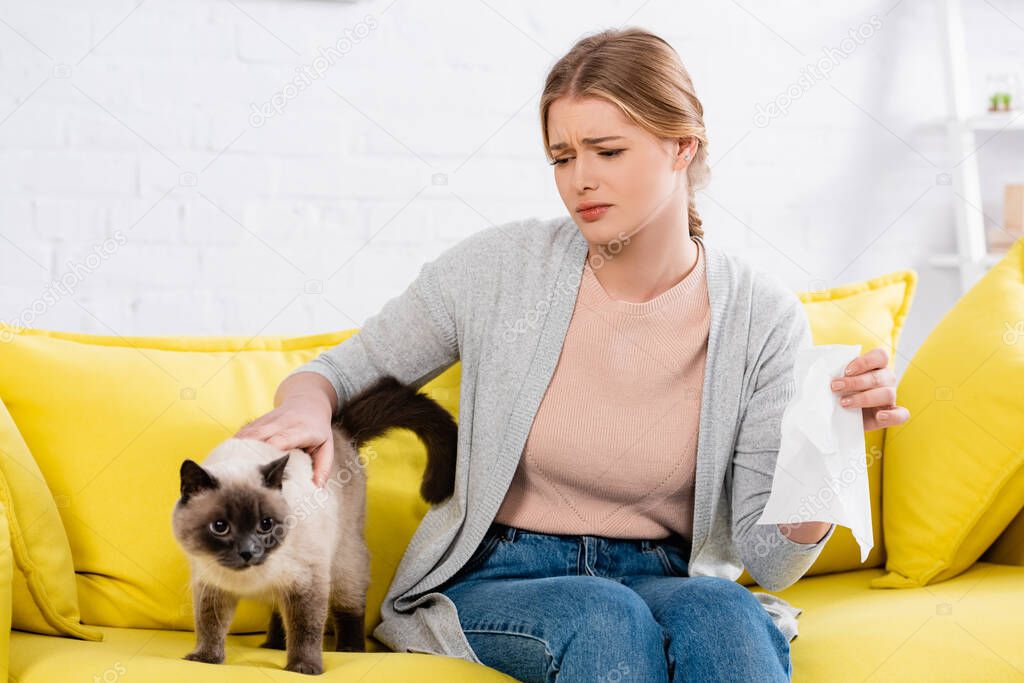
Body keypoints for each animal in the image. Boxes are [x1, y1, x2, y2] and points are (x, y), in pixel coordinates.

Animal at [169, 376, 458, 675]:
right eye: (220, 527)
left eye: (265, 525)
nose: (248, 552)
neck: (252, 578)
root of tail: (339, 430)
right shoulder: (211, 587)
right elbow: (209, 626)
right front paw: (205, 658)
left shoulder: (307, 582)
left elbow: (306, 629)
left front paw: (303, 667)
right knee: (279, 612)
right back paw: (274, 645)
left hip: (344, 561)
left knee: (350, 606)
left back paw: (349, 648)